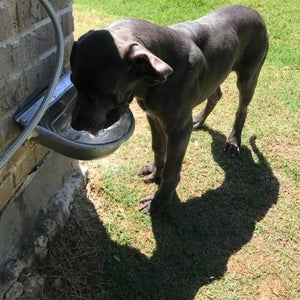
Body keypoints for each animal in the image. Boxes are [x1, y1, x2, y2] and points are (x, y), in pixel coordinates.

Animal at [71, 4, 270, 216]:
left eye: (105, 93)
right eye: (74, 83)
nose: (75, 125)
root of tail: (254, 11)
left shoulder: (179, 130)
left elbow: (172, 170)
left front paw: (158, 202)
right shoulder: (153, 116)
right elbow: (158, 147)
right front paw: (155, 172)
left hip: (249, 76)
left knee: (242, 109)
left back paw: (233, 141)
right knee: (215, 94)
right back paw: (199, 120)